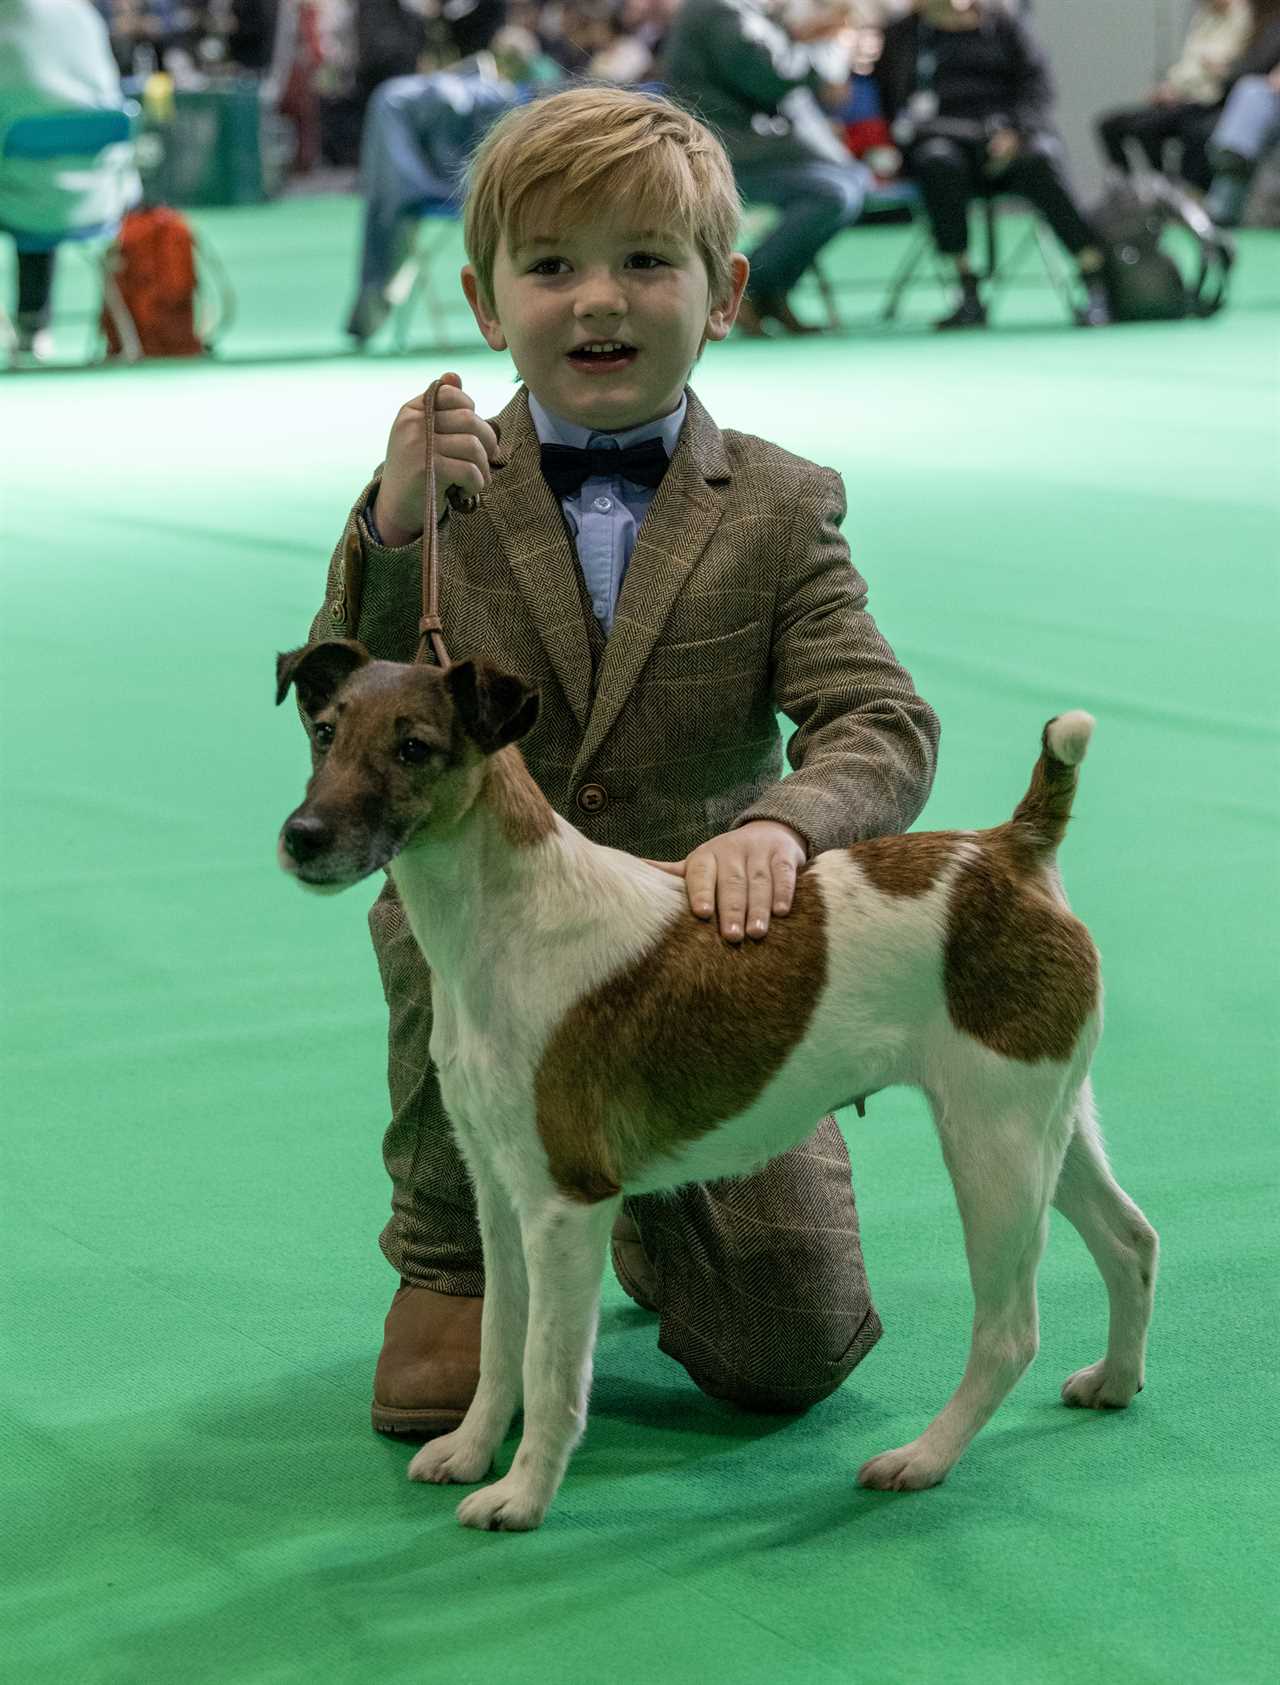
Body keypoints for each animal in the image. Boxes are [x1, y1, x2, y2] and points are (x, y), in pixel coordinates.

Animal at [277, 636, 1158, 1536]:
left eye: (413, 748)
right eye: (323, 732)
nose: (301, 836)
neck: (508, 922)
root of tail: (1013, 848)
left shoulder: (564, 1203)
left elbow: (550, 1369)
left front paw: (522, 1494)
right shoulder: (498, 1186)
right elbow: (498, 1339)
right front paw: (468, 1449)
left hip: (992, 1145)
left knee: (1010, 1329)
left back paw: (922, 1457)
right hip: (1049, 1123)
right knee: (1132, 1240)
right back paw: (1114, 1380)